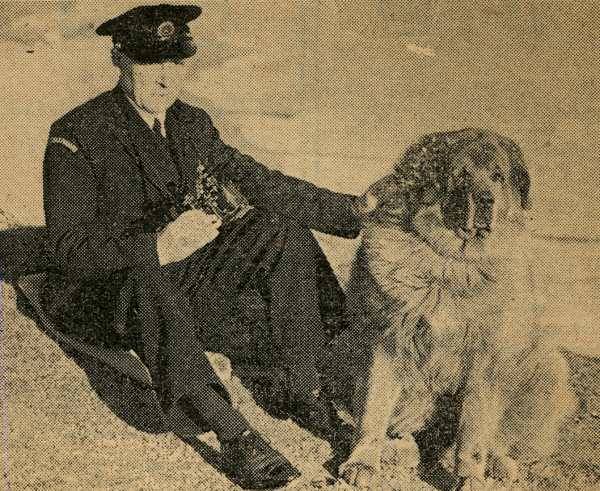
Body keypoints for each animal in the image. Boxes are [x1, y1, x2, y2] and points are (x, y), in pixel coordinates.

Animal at [340, 129, 576, 490]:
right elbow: (373, 408)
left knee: (501, 440)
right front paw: (363, 460)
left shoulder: (486, 359)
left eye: (497, 176)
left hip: (545, 368)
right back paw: (400, 447)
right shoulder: (386, 341)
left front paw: (469, 476)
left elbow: (474, 431)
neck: (452, 261)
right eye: (461, 175)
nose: (486, 200)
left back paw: (498, 463)